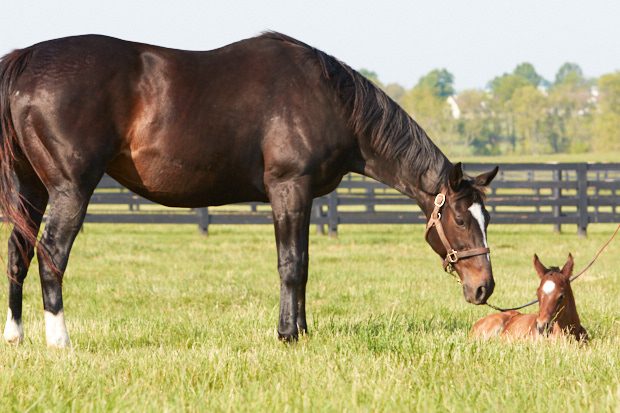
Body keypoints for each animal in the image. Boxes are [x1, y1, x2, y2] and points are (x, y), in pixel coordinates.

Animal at [0, 33, 496, 346]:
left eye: (486, 218)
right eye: (458, 218)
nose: (484, 288)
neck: (328, 99)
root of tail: (26, 59)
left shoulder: (304, 198)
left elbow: (304, 265)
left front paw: (302, 331)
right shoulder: (289, 189)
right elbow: (291, 265)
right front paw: (288, 335)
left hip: (32, 188)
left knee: (19, 253)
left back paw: (16, 336)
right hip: (71, 188)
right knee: (51, 254)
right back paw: (60, 340)